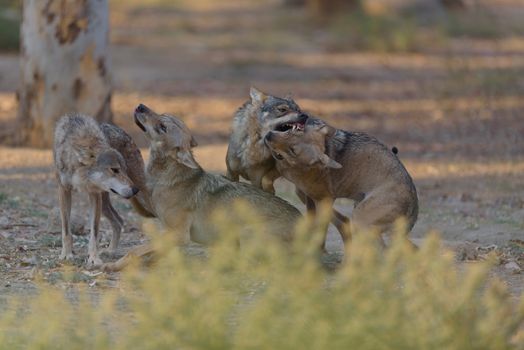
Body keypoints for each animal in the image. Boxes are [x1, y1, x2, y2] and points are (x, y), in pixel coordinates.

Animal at [53, 113, 139, 266]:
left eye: (124, 169)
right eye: (115, 170)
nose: (135, 190)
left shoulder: (94, 194)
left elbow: (94, 231)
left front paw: (94, 258)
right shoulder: (64, 190)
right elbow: (66, 230)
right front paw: (67, 254)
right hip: (104, 203)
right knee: (118, 221)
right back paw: (111, 250)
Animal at [101, 102, 302, 272]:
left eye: (163, 126)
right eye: (162, 114)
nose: (140, 106)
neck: (166, 178)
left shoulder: (179, 235)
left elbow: (134, 250)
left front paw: (113, 266)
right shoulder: (170, 234)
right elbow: (151, 253)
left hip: (246, 233)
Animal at [264, 118, 420, 249]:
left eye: (293, 150)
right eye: (295, 130)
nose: (268, 136)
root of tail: (413, 210)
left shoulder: (324, 199)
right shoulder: (308, 195)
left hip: (360, 218)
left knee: (381, 249)